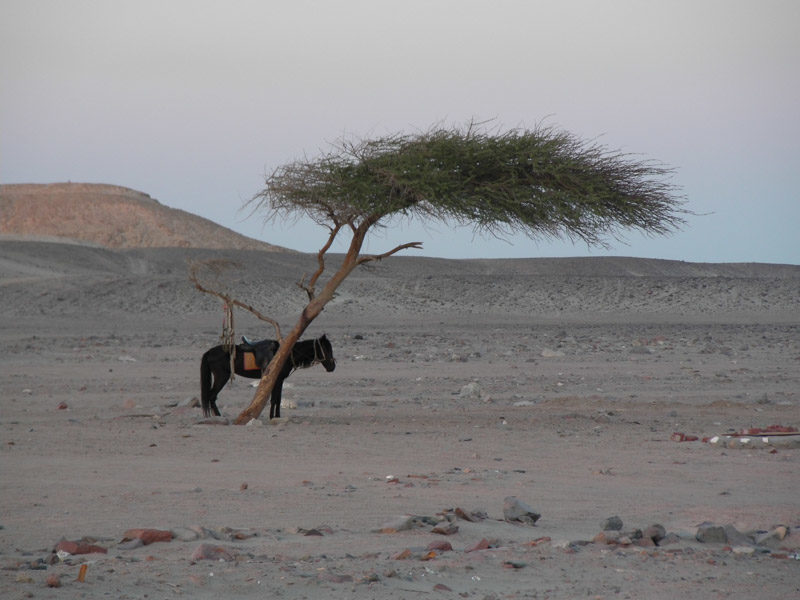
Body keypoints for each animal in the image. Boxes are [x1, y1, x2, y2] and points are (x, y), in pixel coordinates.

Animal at [203, 336, 338, 420]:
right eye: (326, 349)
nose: (332, 366)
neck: (286, 355)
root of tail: (209, 352)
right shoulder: (277, 380)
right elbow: (274, 399)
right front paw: (272, 416)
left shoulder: (280, 380)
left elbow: (278, 399)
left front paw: (276, 416)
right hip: (222, 377)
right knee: (212, 396)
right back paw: (218, 416)